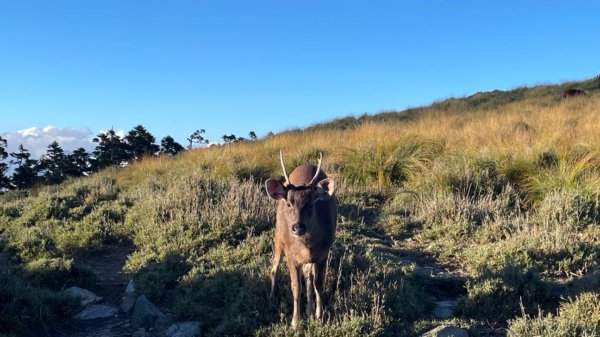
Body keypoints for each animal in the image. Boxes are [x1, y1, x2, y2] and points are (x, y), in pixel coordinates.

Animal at [264, 150, 336, 328]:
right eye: (289, 203)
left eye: (311, 204)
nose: (298, 227)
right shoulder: (291, 254)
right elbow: (296, 286)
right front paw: (295, 322)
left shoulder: (324, 253)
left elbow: (317, 283)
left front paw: (318, 315)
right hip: (278, 236)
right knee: (274, 266)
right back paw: (271, 297)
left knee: (307, 275)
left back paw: (309, 310)